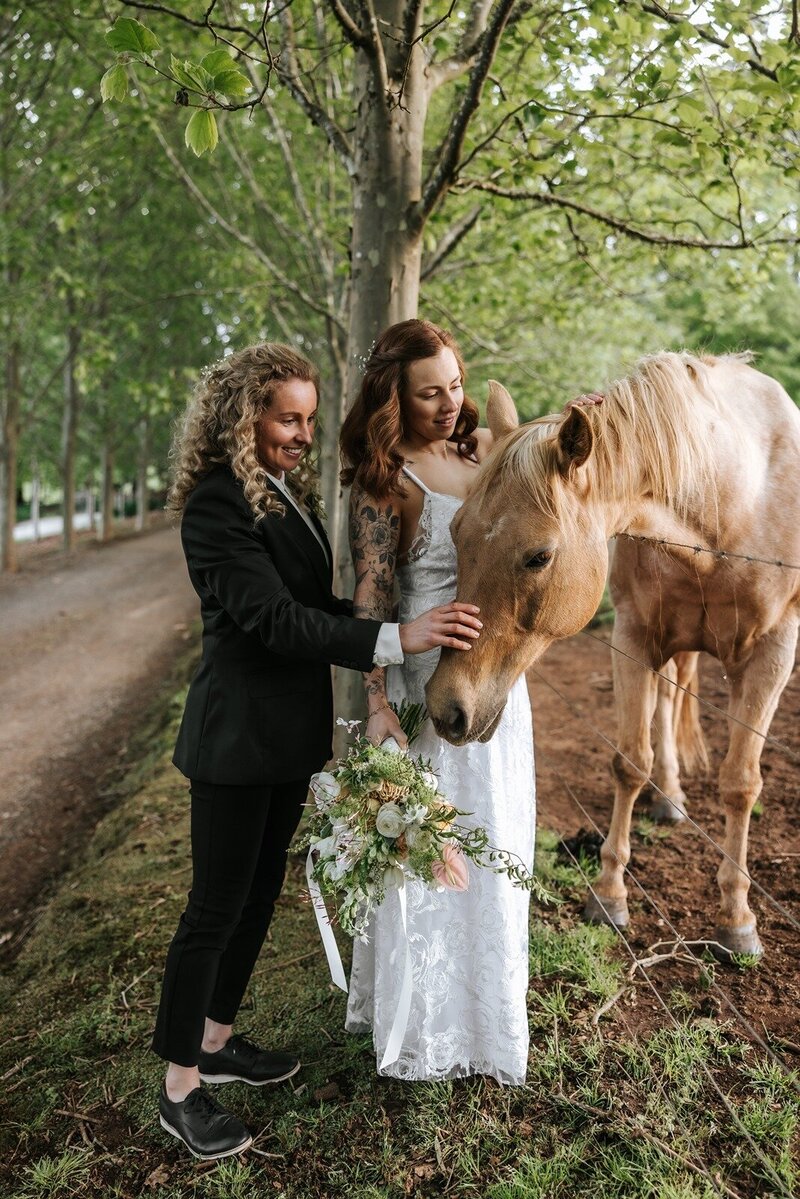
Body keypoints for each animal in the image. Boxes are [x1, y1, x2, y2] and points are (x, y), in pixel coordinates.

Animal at [426, 352, 800, 958]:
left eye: (539, 556)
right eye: (455, 531)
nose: (445, 707)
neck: (730, 502)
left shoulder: (774, 654)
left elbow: (741, 783)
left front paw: (737, 918)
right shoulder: (634, 638)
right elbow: (630, 762)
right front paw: (609, 893)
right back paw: (669, 796)